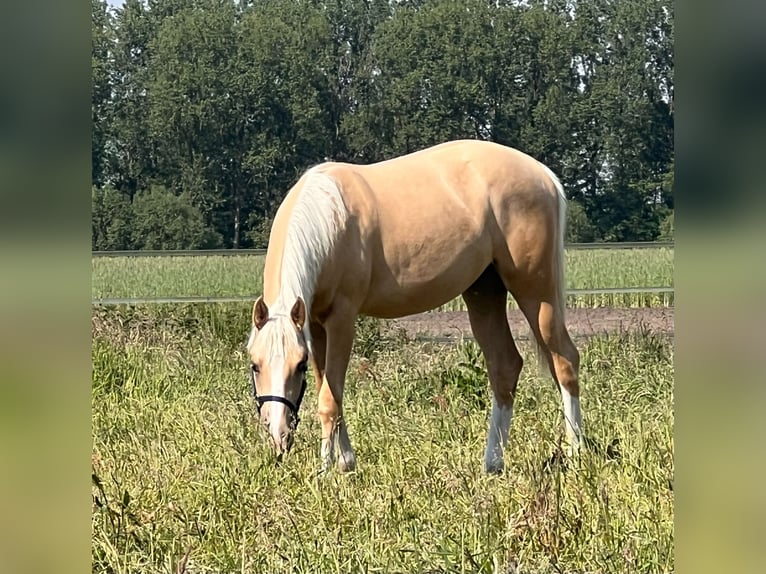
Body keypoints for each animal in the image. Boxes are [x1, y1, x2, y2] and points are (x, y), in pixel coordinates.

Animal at [246, 141, 584, 476]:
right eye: (255, 365)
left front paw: (326, 470)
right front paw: (345, 462)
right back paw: (492, 463)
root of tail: (544, 175)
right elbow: (329, 391)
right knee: (505, 367)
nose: (279, 435)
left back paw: (576, 452)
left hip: (536, 292)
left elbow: (330, 399)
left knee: (565, 361)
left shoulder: (342, 320)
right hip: (485, 293)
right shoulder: (315, 325)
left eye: (298, 365)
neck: (330, 218)